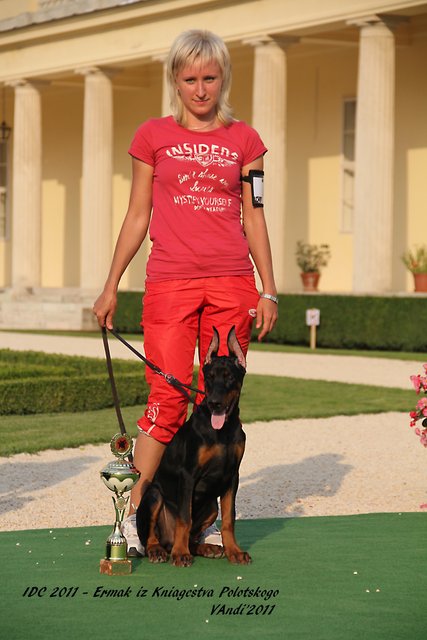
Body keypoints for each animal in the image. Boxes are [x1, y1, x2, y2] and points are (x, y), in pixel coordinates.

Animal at [136, 326, 251, 567]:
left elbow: (229, 519)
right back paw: (161, 550)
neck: (223, 431)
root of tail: (167, 541)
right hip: (153, 495)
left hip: (211, 506)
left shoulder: (232, 476)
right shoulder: (188, 474)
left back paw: (206, 547)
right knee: (152, 535)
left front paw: (234, 551)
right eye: (209, 378)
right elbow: (184, 518)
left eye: (229, 377)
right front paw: (180, 555)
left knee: (192, 537)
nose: (214, 403)